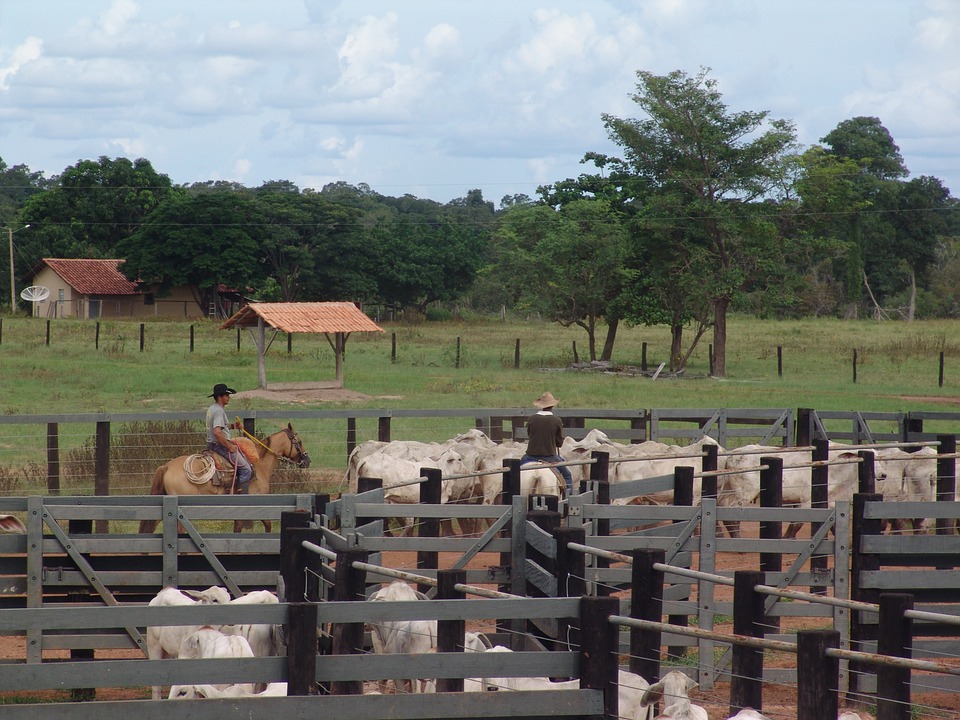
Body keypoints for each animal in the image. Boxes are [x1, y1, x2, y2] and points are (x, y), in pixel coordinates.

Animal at [139, 422, 310, 536]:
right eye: (299, 441)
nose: (308, 460)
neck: (259, 465)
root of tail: (167, 466)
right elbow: (267, 524)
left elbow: (238, 529)